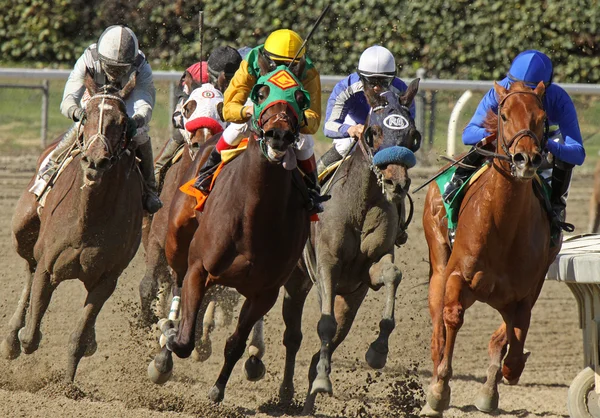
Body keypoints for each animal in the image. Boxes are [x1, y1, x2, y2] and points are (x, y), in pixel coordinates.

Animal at [0, 72, 144, 382]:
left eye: (121, 122)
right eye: (86, 115)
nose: (95, 160)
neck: (88, 219)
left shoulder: (105, 281)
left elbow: (78, 339)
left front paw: (67, 386)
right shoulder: (48, 266)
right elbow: (31, 335)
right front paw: (21, 338)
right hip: (22, 229)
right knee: (28, 269)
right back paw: (10, 339)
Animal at [148, 61, 312, 402]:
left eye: (300, 98)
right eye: (260, 93)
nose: (279, 134)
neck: (254, 216)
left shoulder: (265, 292)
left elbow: (235, 343)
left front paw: (218, 388)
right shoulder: (199, 268)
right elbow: (183, 339)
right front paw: (168, 340)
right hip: (176, 239)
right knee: (176, 282)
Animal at [278, 80, 422, 414]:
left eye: (412, 134)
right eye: (373, 131)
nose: (396, 184)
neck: (361, 203)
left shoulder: (369, 270)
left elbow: (392, 274)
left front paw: (378, 351)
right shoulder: (327, 266)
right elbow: (324, 324)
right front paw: (321, 379)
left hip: (349, 299)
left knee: (326, 342)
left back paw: (307, 403)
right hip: (296, 280)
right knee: (293, 336)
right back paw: (283, 391)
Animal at [420, 81, 560, 414]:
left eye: (541, 118)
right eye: (504, 115)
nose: (526, 159)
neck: (504, 228)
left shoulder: (524, 294)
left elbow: (514, 342)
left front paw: (500, 377)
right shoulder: (458, 276)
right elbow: (452, 317)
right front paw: (440, 389)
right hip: (438, 264)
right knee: (438, 331)